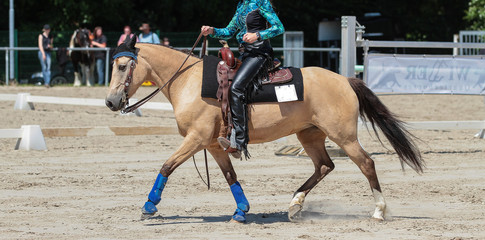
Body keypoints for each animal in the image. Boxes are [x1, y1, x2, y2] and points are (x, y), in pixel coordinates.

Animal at [105, 35, 420, 223]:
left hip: (343, 136)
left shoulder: (196, 139)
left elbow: (167, 166)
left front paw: (149, 206)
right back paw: (294, 205)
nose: (110, 101)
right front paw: (241, 211)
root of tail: (345, 80)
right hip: (309, 134)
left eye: (122, 66)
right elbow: (231, 176)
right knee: (324, 166)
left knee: (366, 163)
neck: (189, 81)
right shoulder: (212, 144)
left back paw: (378, 211)